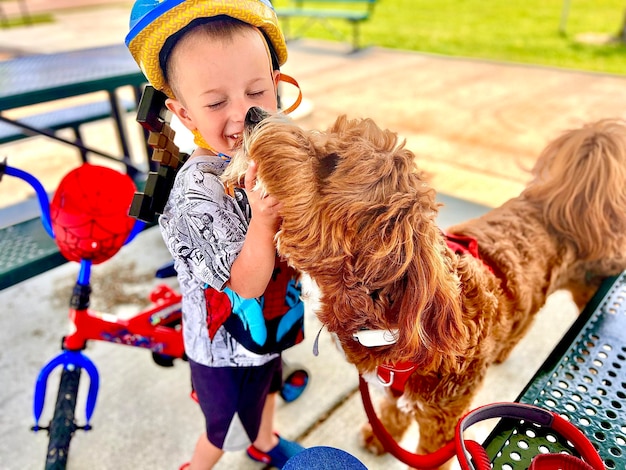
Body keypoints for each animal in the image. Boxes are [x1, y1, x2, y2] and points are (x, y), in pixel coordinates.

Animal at [223, 109, 624, 466]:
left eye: (332, 162)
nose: (253, 112)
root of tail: (558, 206)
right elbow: (392, 410)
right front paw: (382, 436)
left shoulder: (444, 422)